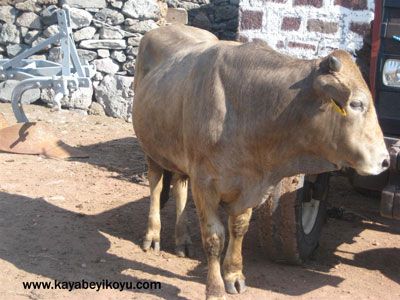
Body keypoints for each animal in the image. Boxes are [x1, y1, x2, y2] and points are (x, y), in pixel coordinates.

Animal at [133, 24, 390, 298]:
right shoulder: (205, 182)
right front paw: (215, 288)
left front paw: (234, 276)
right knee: (156, 186)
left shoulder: (249, 182)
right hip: (151, 149)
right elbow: (214, 237)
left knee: (179, 186)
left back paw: (182, 239)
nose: (385, 161)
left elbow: (238, 227)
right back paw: (152, 235)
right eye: (356, 103)